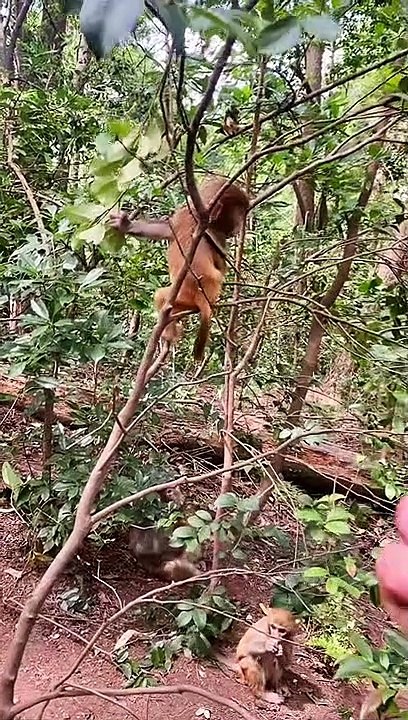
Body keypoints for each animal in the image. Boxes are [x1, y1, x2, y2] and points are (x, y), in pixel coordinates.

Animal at [108, 175, 249, 362]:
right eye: (238, 213)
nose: (240, 224)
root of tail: (201, 296)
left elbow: (165, 230)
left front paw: (125, 225)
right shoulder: (212, 231)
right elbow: (220, 264)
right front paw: (125, 224)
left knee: (163, 299)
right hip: (183, 297)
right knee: (162, 297)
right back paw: (169, 333)